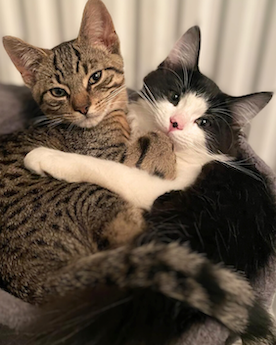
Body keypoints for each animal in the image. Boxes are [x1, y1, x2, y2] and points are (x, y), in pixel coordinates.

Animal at [21, 28, 276, 344]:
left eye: (203, 122)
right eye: (175, 96)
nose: (176, 123)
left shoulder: (164, 183)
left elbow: (112, 168)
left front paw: (47, 157)